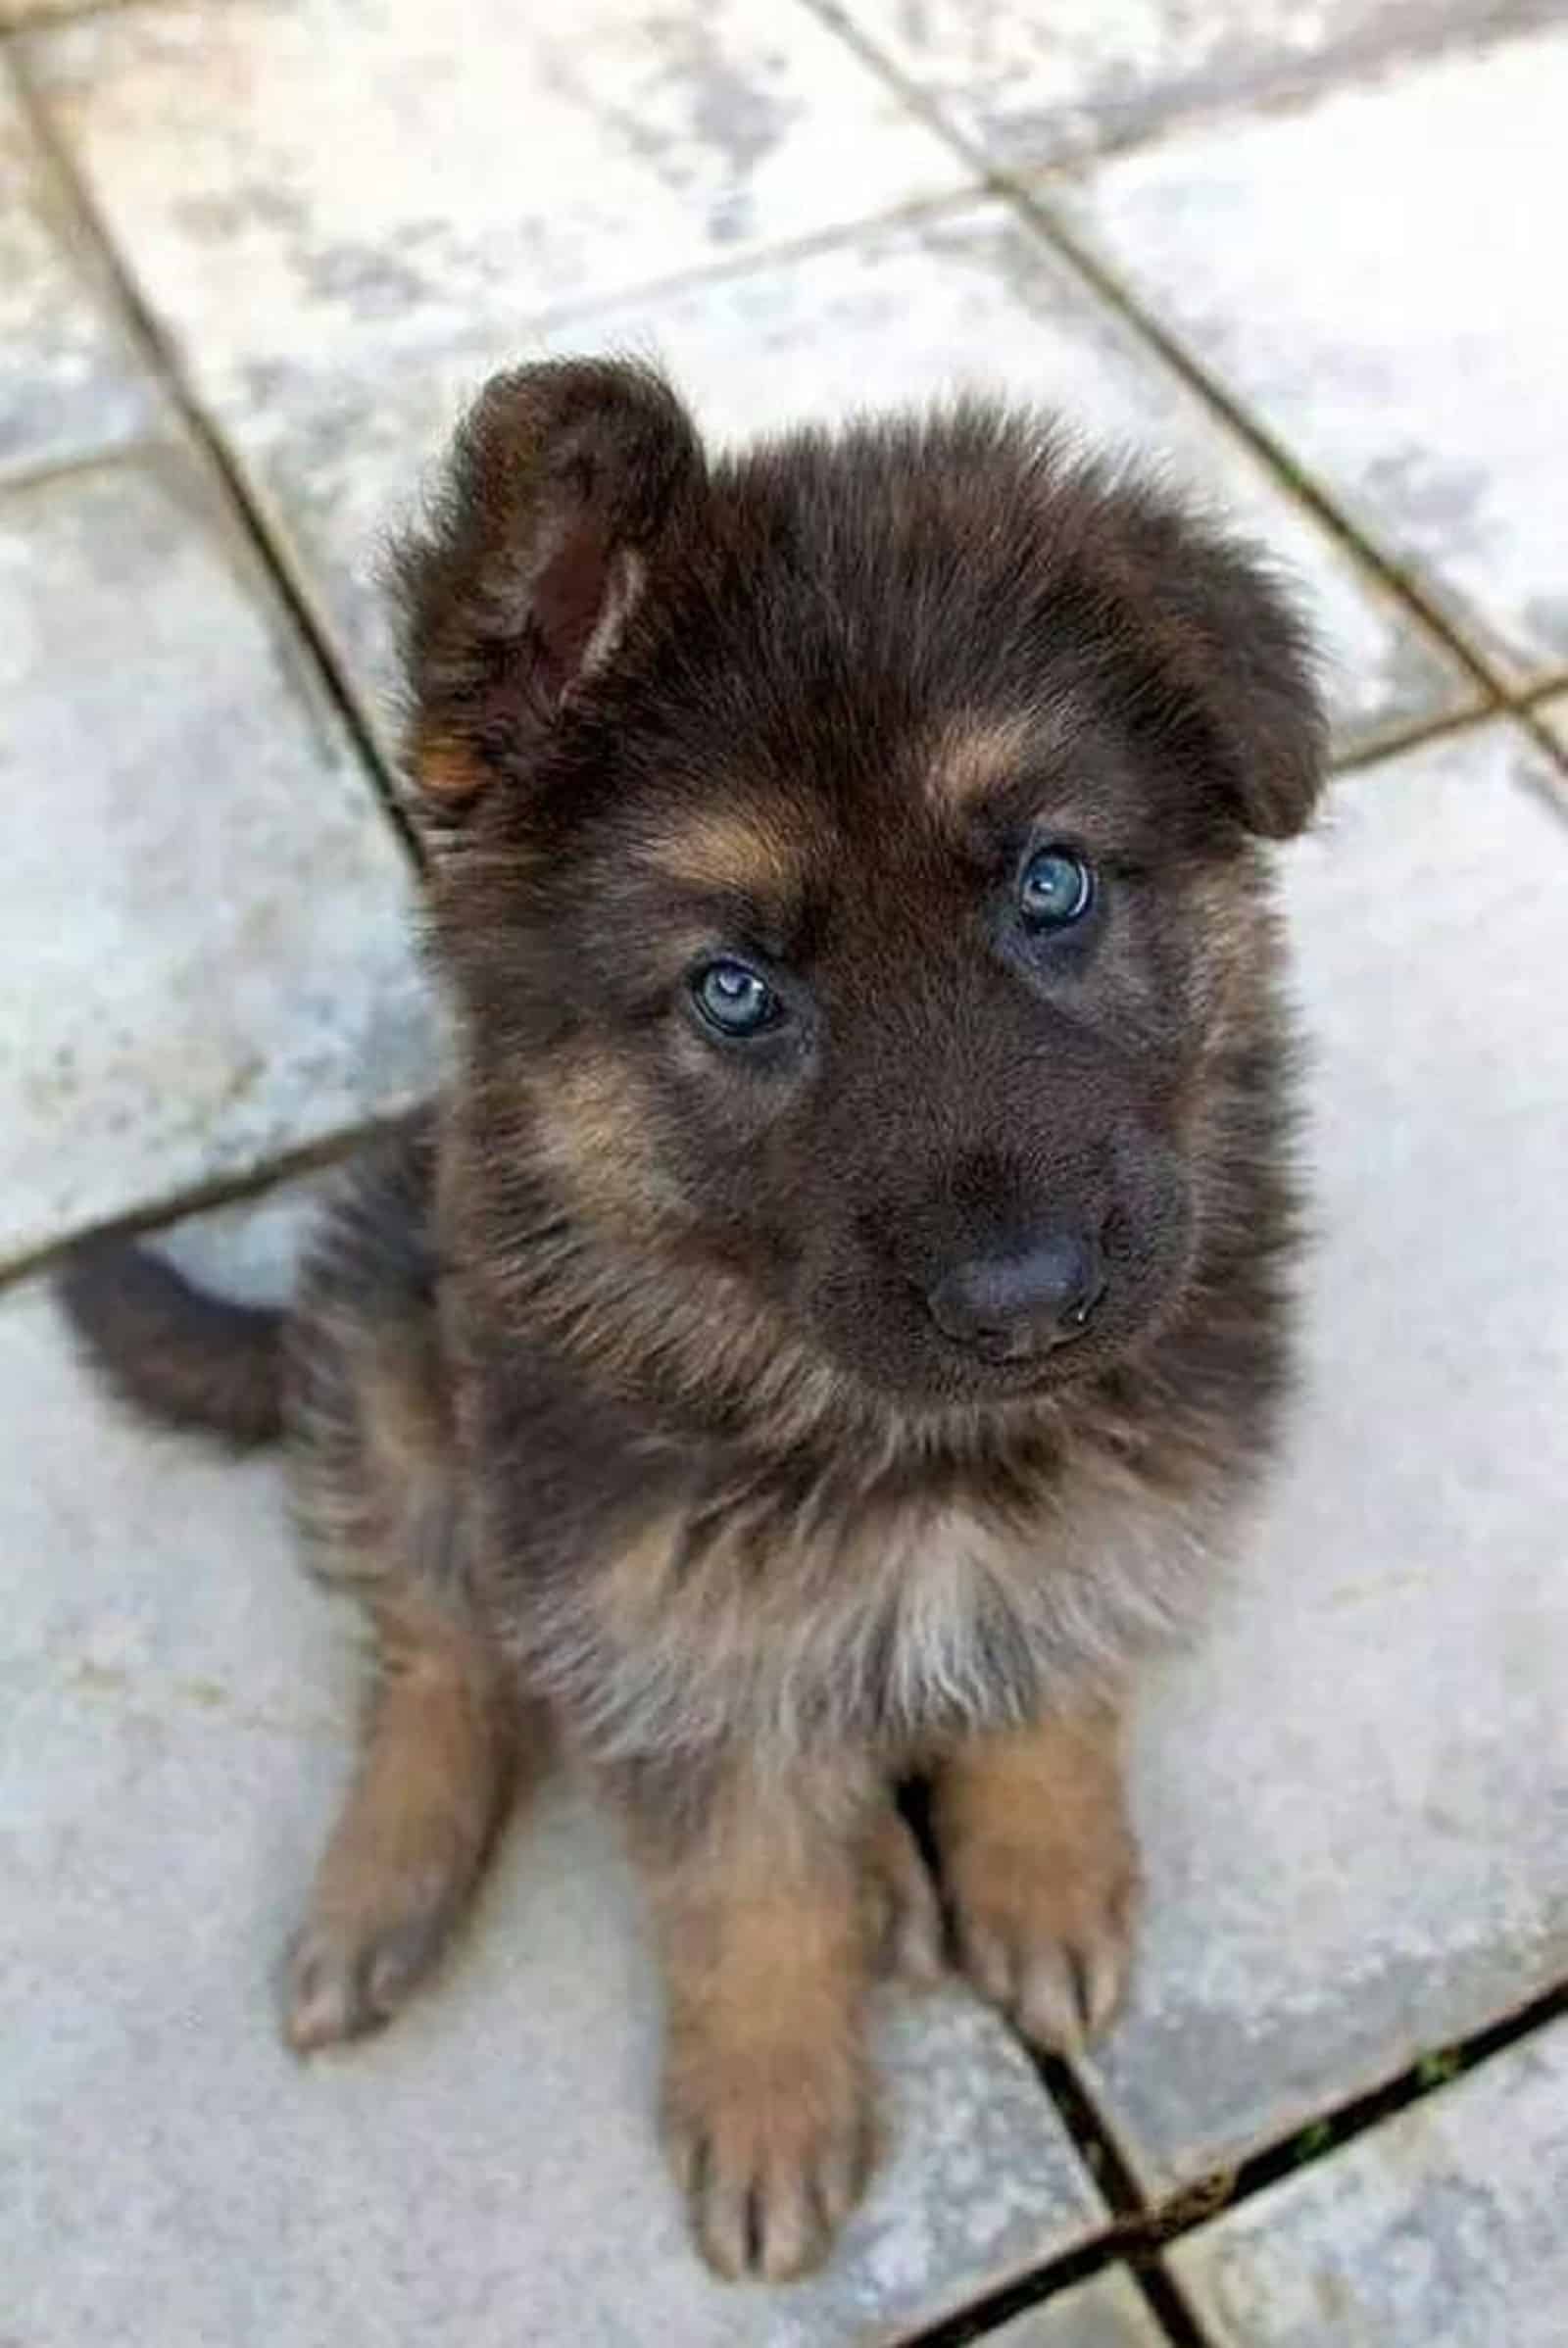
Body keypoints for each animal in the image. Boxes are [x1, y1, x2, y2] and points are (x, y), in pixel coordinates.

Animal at [61, 357, 1314, 2281]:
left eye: (1052, 884)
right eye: (735, 991)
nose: (1032, 1307)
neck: (893, 1443)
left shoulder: (1127, 1497)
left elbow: (1050, 1691)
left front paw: (1039, 1869)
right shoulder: (644, 1615)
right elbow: (740, 1881)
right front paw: (772, 2092)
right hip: (390, 1340)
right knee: (438, 1655)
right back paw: (388, 1883)